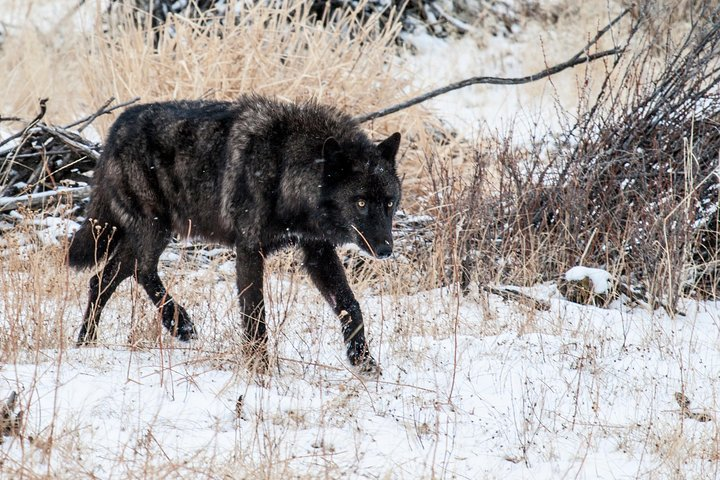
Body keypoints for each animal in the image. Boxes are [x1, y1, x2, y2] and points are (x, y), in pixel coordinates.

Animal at [67, 94, 401, 373]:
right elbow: (255, 314)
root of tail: (116, 126)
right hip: (156, 229)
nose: (386, 249)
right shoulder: (249, 249)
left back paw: (88, 342)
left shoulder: (317, 251)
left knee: (103, 279)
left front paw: (364, 361)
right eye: (360, 202)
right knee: (140, 270)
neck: (284, 168)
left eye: (389, 202)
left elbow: (351, 305)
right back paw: (179, 324)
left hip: (150, 234)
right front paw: (259, 370)